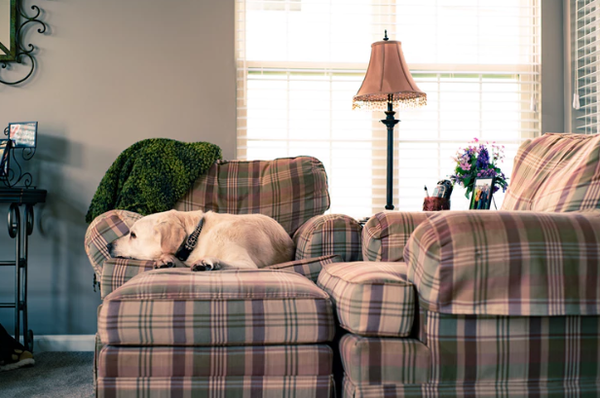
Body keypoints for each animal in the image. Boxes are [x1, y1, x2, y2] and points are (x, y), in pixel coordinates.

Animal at [110, 208, 296, 270]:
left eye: (133, 235)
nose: (109, 245)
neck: (196, 236)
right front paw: (166, 260)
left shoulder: (246, 263)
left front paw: (206, 261)